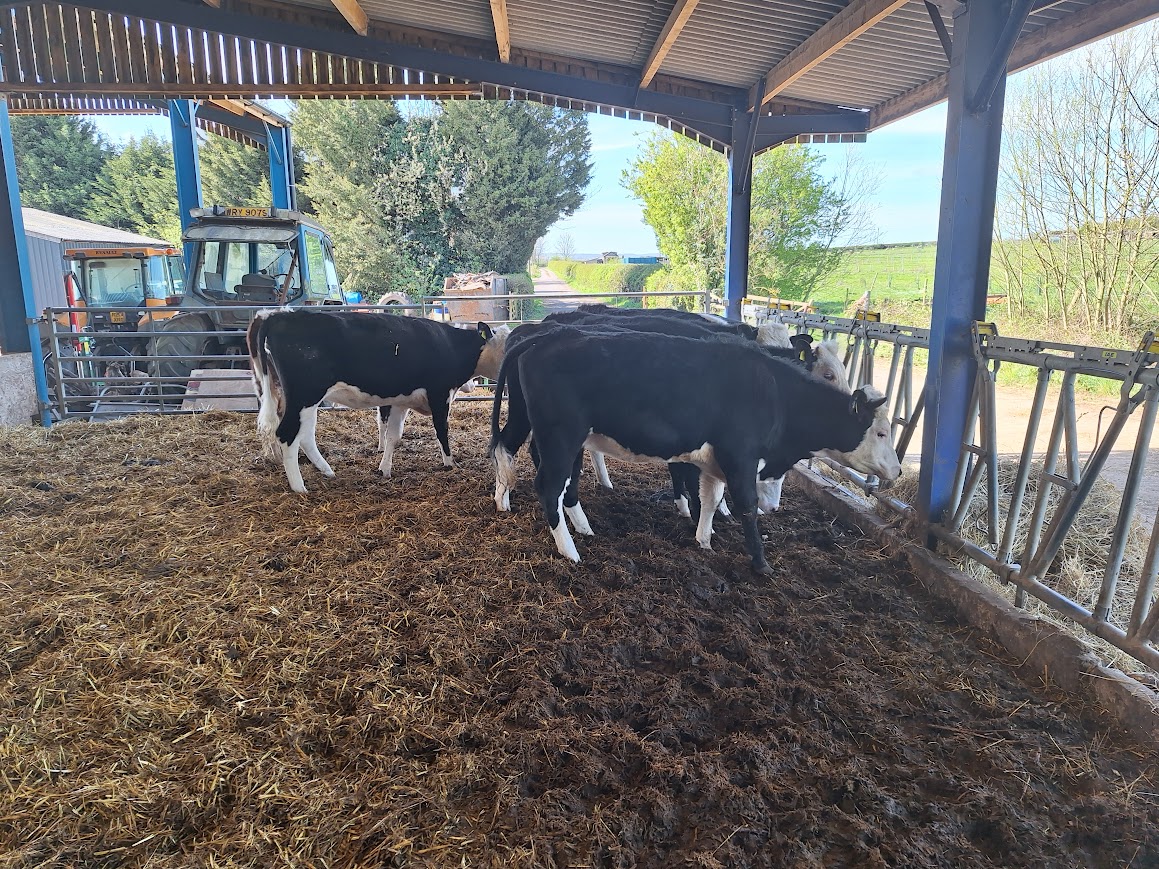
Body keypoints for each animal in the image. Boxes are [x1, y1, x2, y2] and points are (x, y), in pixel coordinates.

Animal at [247, 308, 509, 493]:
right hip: (304, 395)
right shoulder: (439, 394)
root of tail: (279, 314)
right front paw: (450, 464)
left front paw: (384, 469)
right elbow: (441, 430)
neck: (453, 346)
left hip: (304, 401)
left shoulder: (400, 402)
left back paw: (327, 471)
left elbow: (394, 436)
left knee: (305, 436)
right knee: (288, 434)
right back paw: (299, 488)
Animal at [511, 331, 901, 574]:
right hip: (561, 438)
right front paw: (761, 564)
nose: (897, 472)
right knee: (549, 487)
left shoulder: (716, 463)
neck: (775, 392)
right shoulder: (741, 456)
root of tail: (542, 341)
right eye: (881, 431)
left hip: (567, 443)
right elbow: (746, 507)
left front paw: (704, 541)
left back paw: (584, 529)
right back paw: (570, 551)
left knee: (566, 487)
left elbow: (711, 500)